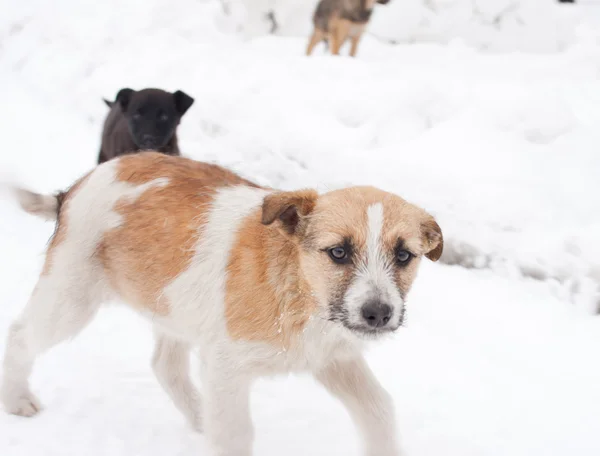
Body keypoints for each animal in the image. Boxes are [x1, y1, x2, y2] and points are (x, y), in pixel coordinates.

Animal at [0, 153, 440, 456]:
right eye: (338, 252)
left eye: (404, 255)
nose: (378, 313)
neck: (299, 292)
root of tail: (76, 186)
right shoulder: (228, 367)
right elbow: (235, 435)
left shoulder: (334, 359)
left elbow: (378, 410)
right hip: (70, 296)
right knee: (20, 335)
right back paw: (17, 398)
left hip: (173, 308)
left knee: (165, 366)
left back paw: (199, 416)